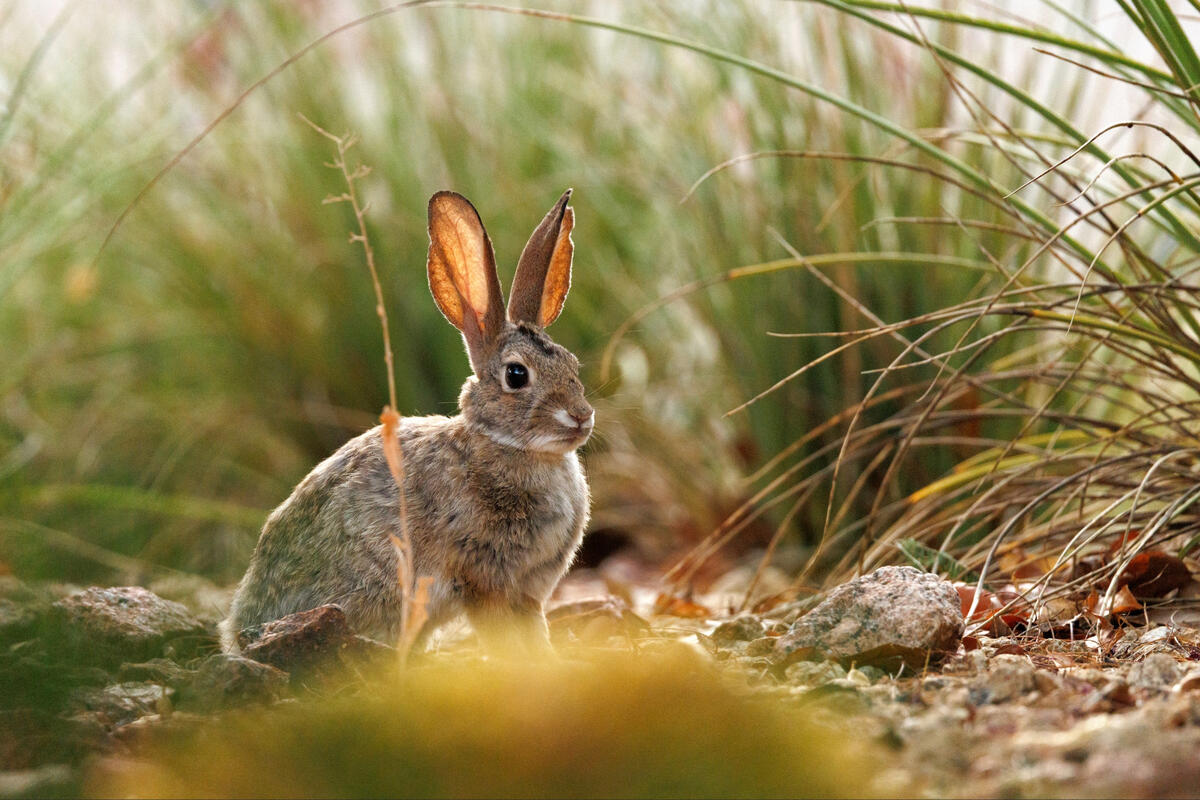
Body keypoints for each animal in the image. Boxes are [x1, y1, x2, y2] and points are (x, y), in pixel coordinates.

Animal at [220, 189, 594, 654]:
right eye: (516, 375)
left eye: (573, 365)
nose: (581, 416)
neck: (507, 446)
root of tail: (236, 630)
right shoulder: (483, 576)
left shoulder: (528, 591)